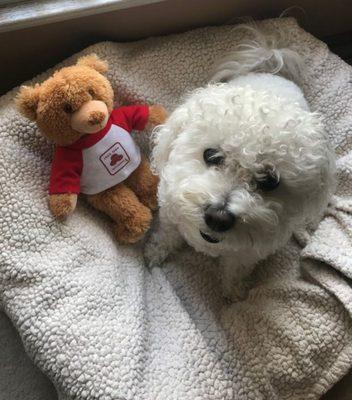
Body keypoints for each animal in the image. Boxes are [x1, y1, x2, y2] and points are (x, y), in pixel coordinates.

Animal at [145, 24, 336, 300]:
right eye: (211, 155)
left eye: (270, 181)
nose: (218, 217)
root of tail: (272, 71)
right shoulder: (170, 212)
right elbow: (167, 235)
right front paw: (155, 251)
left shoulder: (249, 253)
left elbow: (236, 269)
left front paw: (234, 293)